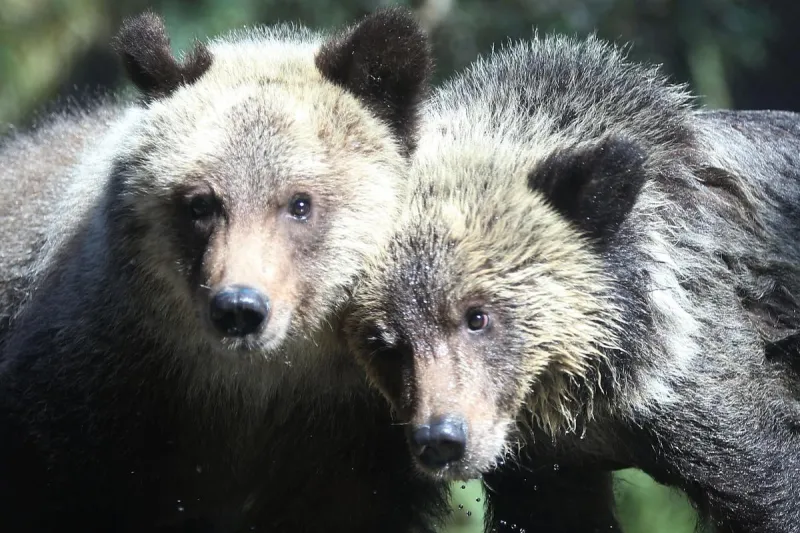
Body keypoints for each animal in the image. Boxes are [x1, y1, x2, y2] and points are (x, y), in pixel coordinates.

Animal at [0, 9, 450, 533]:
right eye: (200, 203)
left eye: (299, 203)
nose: (239, 307)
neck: (246, 391)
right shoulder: (86, 402)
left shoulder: (355, 450)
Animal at [344, 33, 800, 533]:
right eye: (383, 344)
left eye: (476, 316)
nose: (442, 438)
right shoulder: (547, 469)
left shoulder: (702, 388)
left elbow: (764, 483)